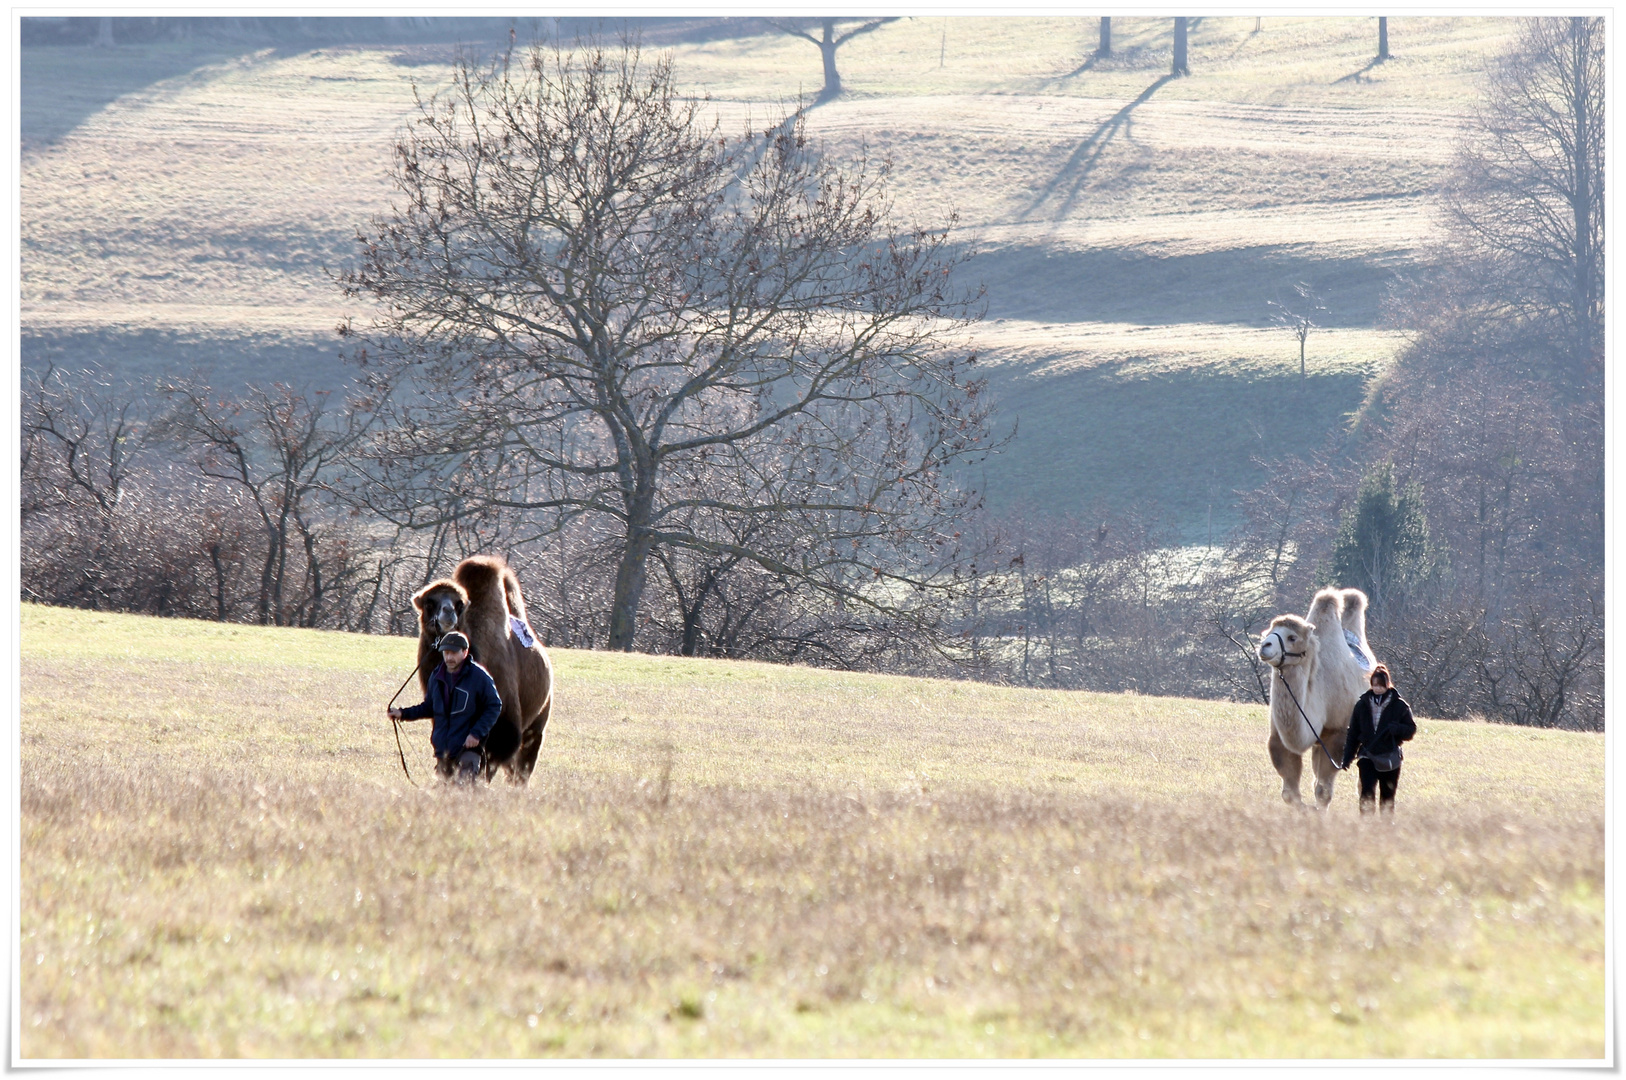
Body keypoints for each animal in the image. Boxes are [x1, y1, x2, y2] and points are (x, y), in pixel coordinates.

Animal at [409, 556, 556, 783]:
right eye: (429, 603)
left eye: (459, 603)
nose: (448, 613)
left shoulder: (503, 726)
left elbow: (487, 765)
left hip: (537, 722)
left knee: (522, 767)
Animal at [1255, 585, 1372, 806]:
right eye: (1268, 632)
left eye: (1292, 637)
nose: (1264, 645)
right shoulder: (1279, 738)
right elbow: (1290, 793)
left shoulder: (1337, 734)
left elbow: (1323, 791)